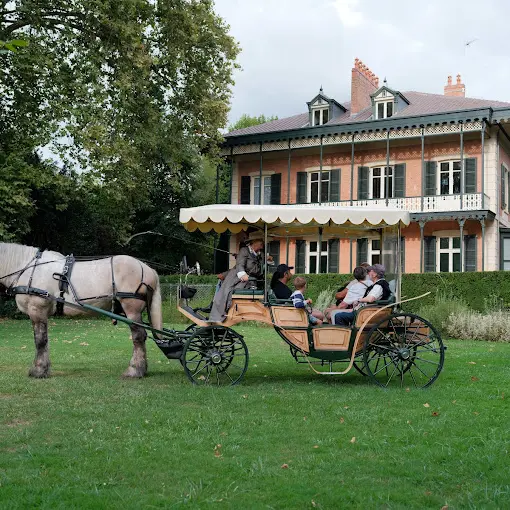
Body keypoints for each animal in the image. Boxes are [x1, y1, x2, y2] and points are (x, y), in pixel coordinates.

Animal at [0, 243, 162, 378]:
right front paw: (43, 369)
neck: (29, 268)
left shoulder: (37, 310)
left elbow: (40, 340)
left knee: (138, 336)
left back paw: (135, 370)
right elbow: (44, 341)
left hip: (132, 310)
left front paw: (38, 370)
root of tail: (147, 268)